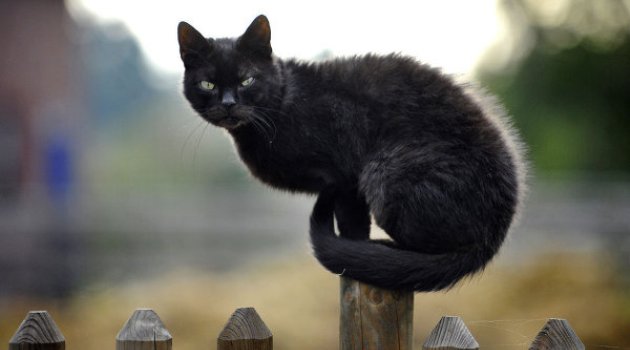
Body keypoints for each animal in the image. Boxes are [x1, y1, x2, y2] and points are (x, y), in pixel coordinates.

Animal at [178, 15, 528, 292]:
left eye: (246, 80)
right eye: (208, 84)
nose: (228, 104)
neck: (283, 106)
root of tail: (495, 234)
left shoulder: (347, 178)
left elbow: (353, 225)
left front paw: (351, 255)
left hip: (386, 170)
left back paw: (381, 254)